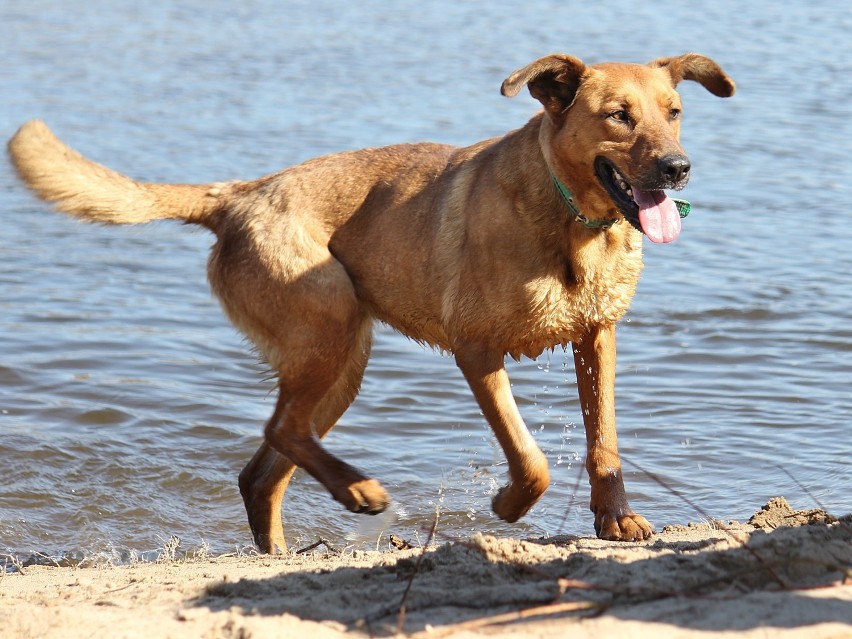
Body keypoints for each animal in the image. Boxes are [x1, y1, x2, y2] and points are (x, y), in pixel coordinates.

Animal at [8, 53, 732, 556]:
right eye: (618, 115)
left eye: (674, 111)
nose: (678, 167)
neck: (575, 223)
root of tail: (238, 194)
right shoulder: (476, 350)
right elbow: (530, 459)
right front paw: (505, 506)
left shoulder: (596, 336)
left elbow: (603, 440)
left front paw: (616, 518)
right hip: (330, 330)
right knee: (280, 432)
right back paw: (359, 489)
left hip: (338, 363)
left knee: (263, 468)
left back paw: (283, 551)